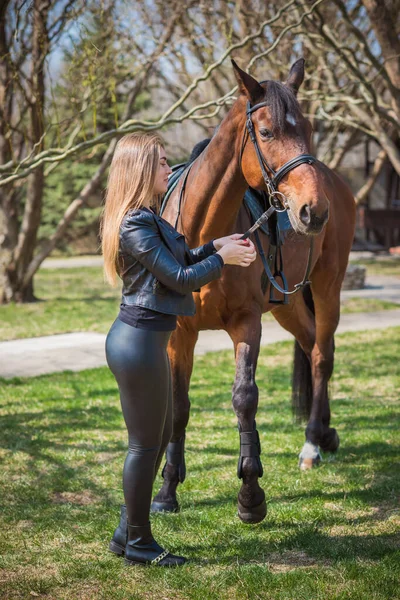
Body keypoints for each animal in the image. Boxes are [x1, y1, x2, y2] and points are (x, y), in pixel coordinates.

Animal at [151, 57, 356, 524]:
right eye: (266, 133)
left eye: (310, 128)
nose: (313, 211)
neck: (203, 236)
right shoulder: (179, 334)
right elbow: (178, 407)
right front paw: (167, 490)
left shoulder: (247, 323)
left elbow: (245, 398)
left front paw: (250, 495)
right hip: (288, 305)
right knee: (309, 343)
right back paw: (326, 432)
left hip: (328, 286)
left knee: (322, 355)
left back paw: (312, 444)